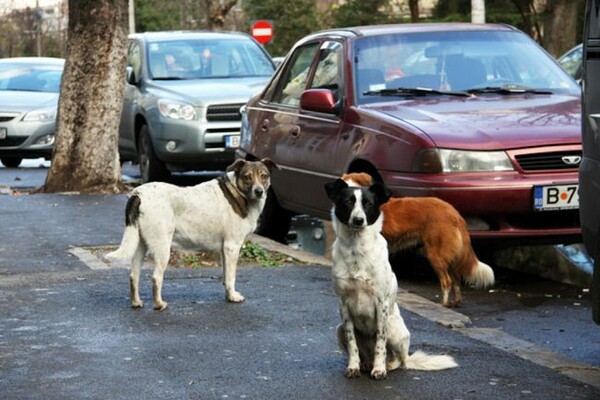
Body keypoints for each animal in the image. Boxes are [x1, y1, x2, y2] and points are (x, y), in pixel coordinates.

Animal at [106, 159, 276, 310]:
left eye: (264, 176)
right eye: (247, 177)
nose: (259, 191)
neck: (238, 193)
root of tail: (138, 194)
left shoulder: (224, 250)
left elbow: (226, 275)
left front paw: (228, 295)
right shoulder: (232, 246)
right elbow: (231, 277)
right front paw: (233, 297)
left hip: (140, 246)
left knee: (133, 276)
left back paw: (136, 302)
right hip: (163, 248)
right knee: (156, 278)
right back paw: (159, 305)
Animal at [326, 180, 458, 380]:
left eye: (368, 204)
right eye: (348, 202)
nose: (358, 220)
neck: (357, 249)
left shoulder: (381, 303)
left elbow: (380, 343)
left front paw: (379, 370)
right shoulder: (344, 306)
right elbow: (352, 344)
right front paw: (353, 367)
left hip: (393, 328)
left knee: (399, 360)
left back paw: (385, 365)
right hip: (339, 329)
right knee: (363, 353)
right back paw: (365, 364)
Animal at [342, 171, 492, 306]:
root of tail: (454, 212)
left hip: (435, 254)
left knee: (447, 281)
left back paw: (443, 304)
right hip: (448, 255)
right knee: (456, 280)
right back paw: (456, 302)